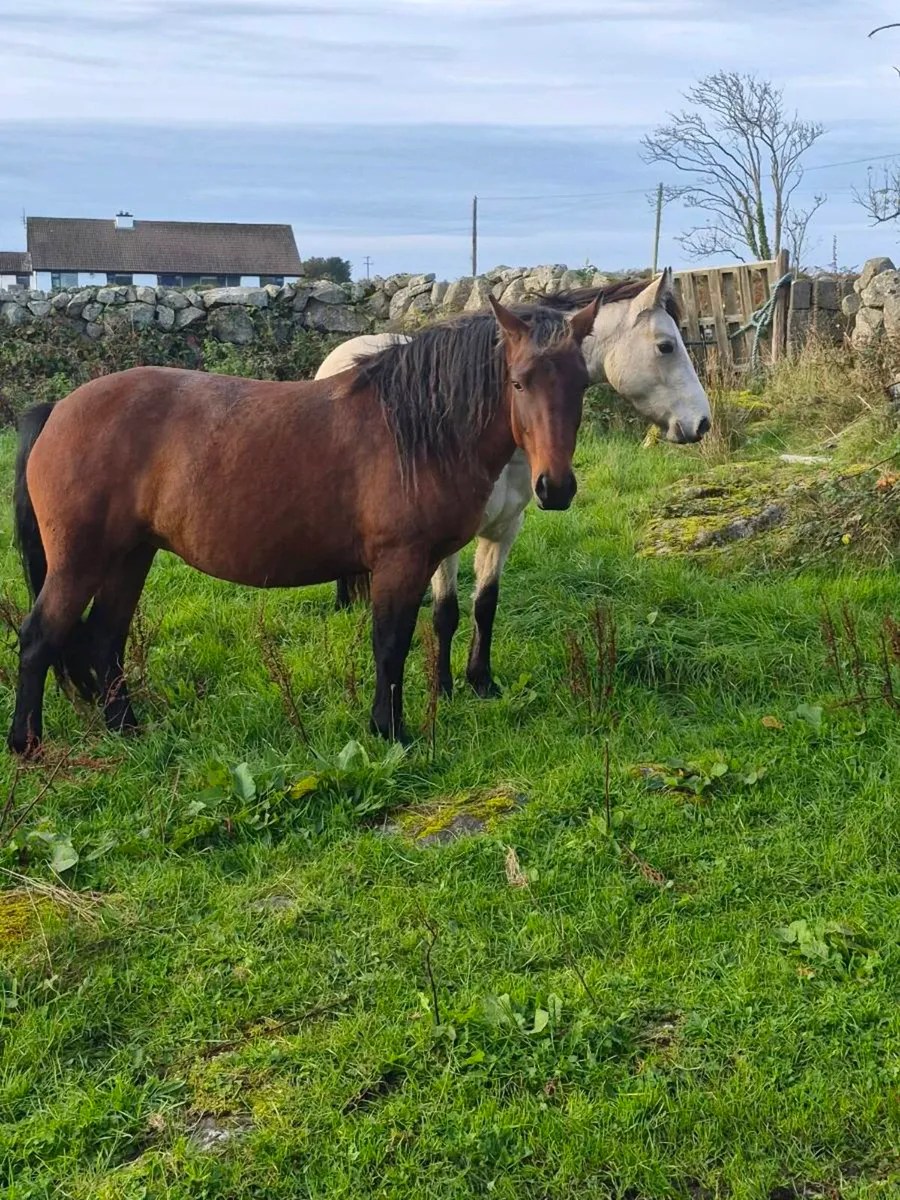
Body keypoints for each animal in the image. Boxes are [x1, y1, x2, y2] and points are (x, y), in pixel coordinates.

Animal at [8, 294, 599, 755]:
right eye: (519, 383)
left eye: (581, 385)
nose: (555, 488)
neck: (416, 429)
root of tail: (58, 409)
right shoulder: (401, 562)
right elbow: (391, 645)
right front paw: (391, 732)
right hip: (79, 562)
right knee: (39, 639)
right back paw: (27, 745)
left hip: (131, 556)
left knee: (105, 639)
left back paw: (128, 730)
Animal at [316, 269, 711, 698]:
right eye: (666, 346)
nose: (702, 422)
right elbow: (445, 611)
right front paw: (443, 687)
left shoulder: (505, 528)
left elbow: (485, 604)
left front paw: (481, 680)